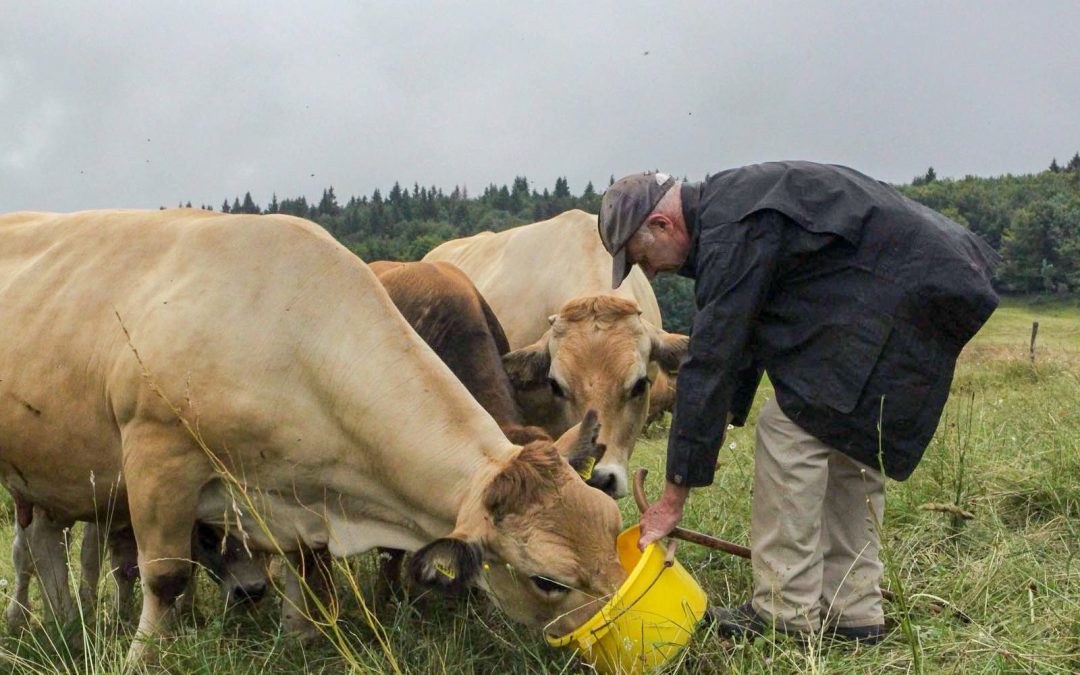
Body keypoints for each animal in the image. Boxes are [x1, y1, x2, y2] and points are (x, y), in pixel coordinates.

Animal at [0, 210, 626, 665]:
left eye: (611, 524)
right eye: (547, 580)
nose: (627, 624)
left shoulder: (294, 491)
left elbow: (300, 563)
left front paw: (300, 636)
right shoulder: (159, 459)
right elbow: (166, 577)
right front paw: (144, 656)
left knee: (43, 546)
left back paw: (65, 623)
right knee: (35, 550)